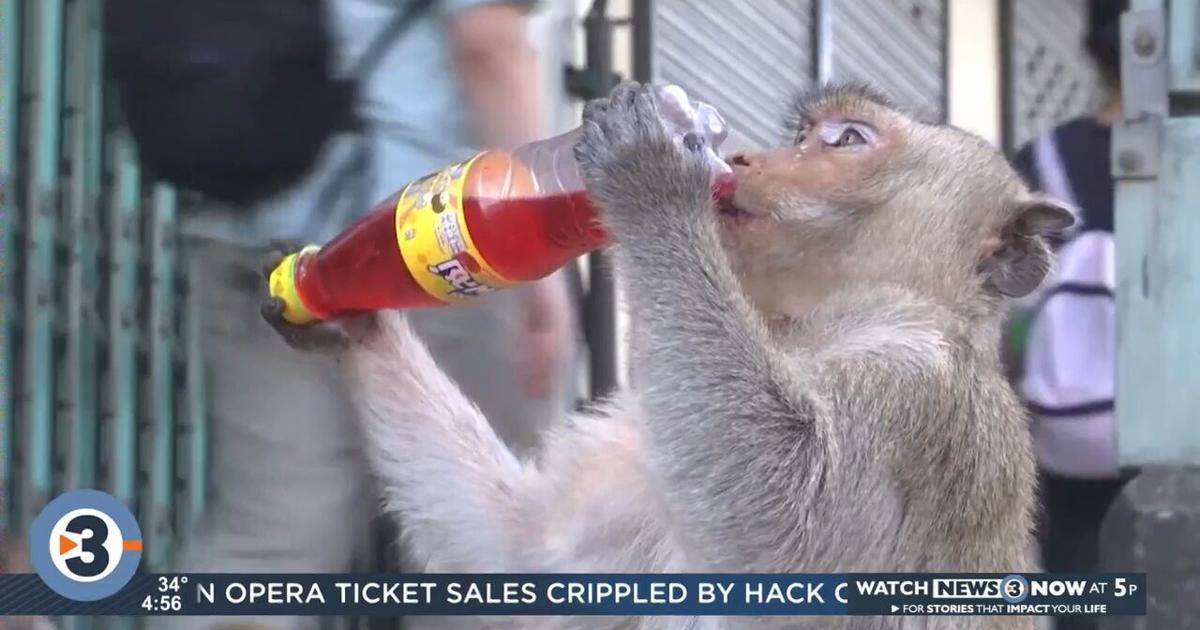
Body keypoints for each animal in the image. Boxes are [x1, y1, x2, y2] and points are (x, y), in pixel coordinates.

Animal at [260, 82, 1073, 629]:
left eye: (846, 141)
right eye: (804, 133)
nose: (738, 155)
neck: (802, 326)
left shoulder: (921, 398)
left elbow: (780, 527)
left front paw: (651, 169)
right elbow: (529, 553)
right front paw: (342, 305)